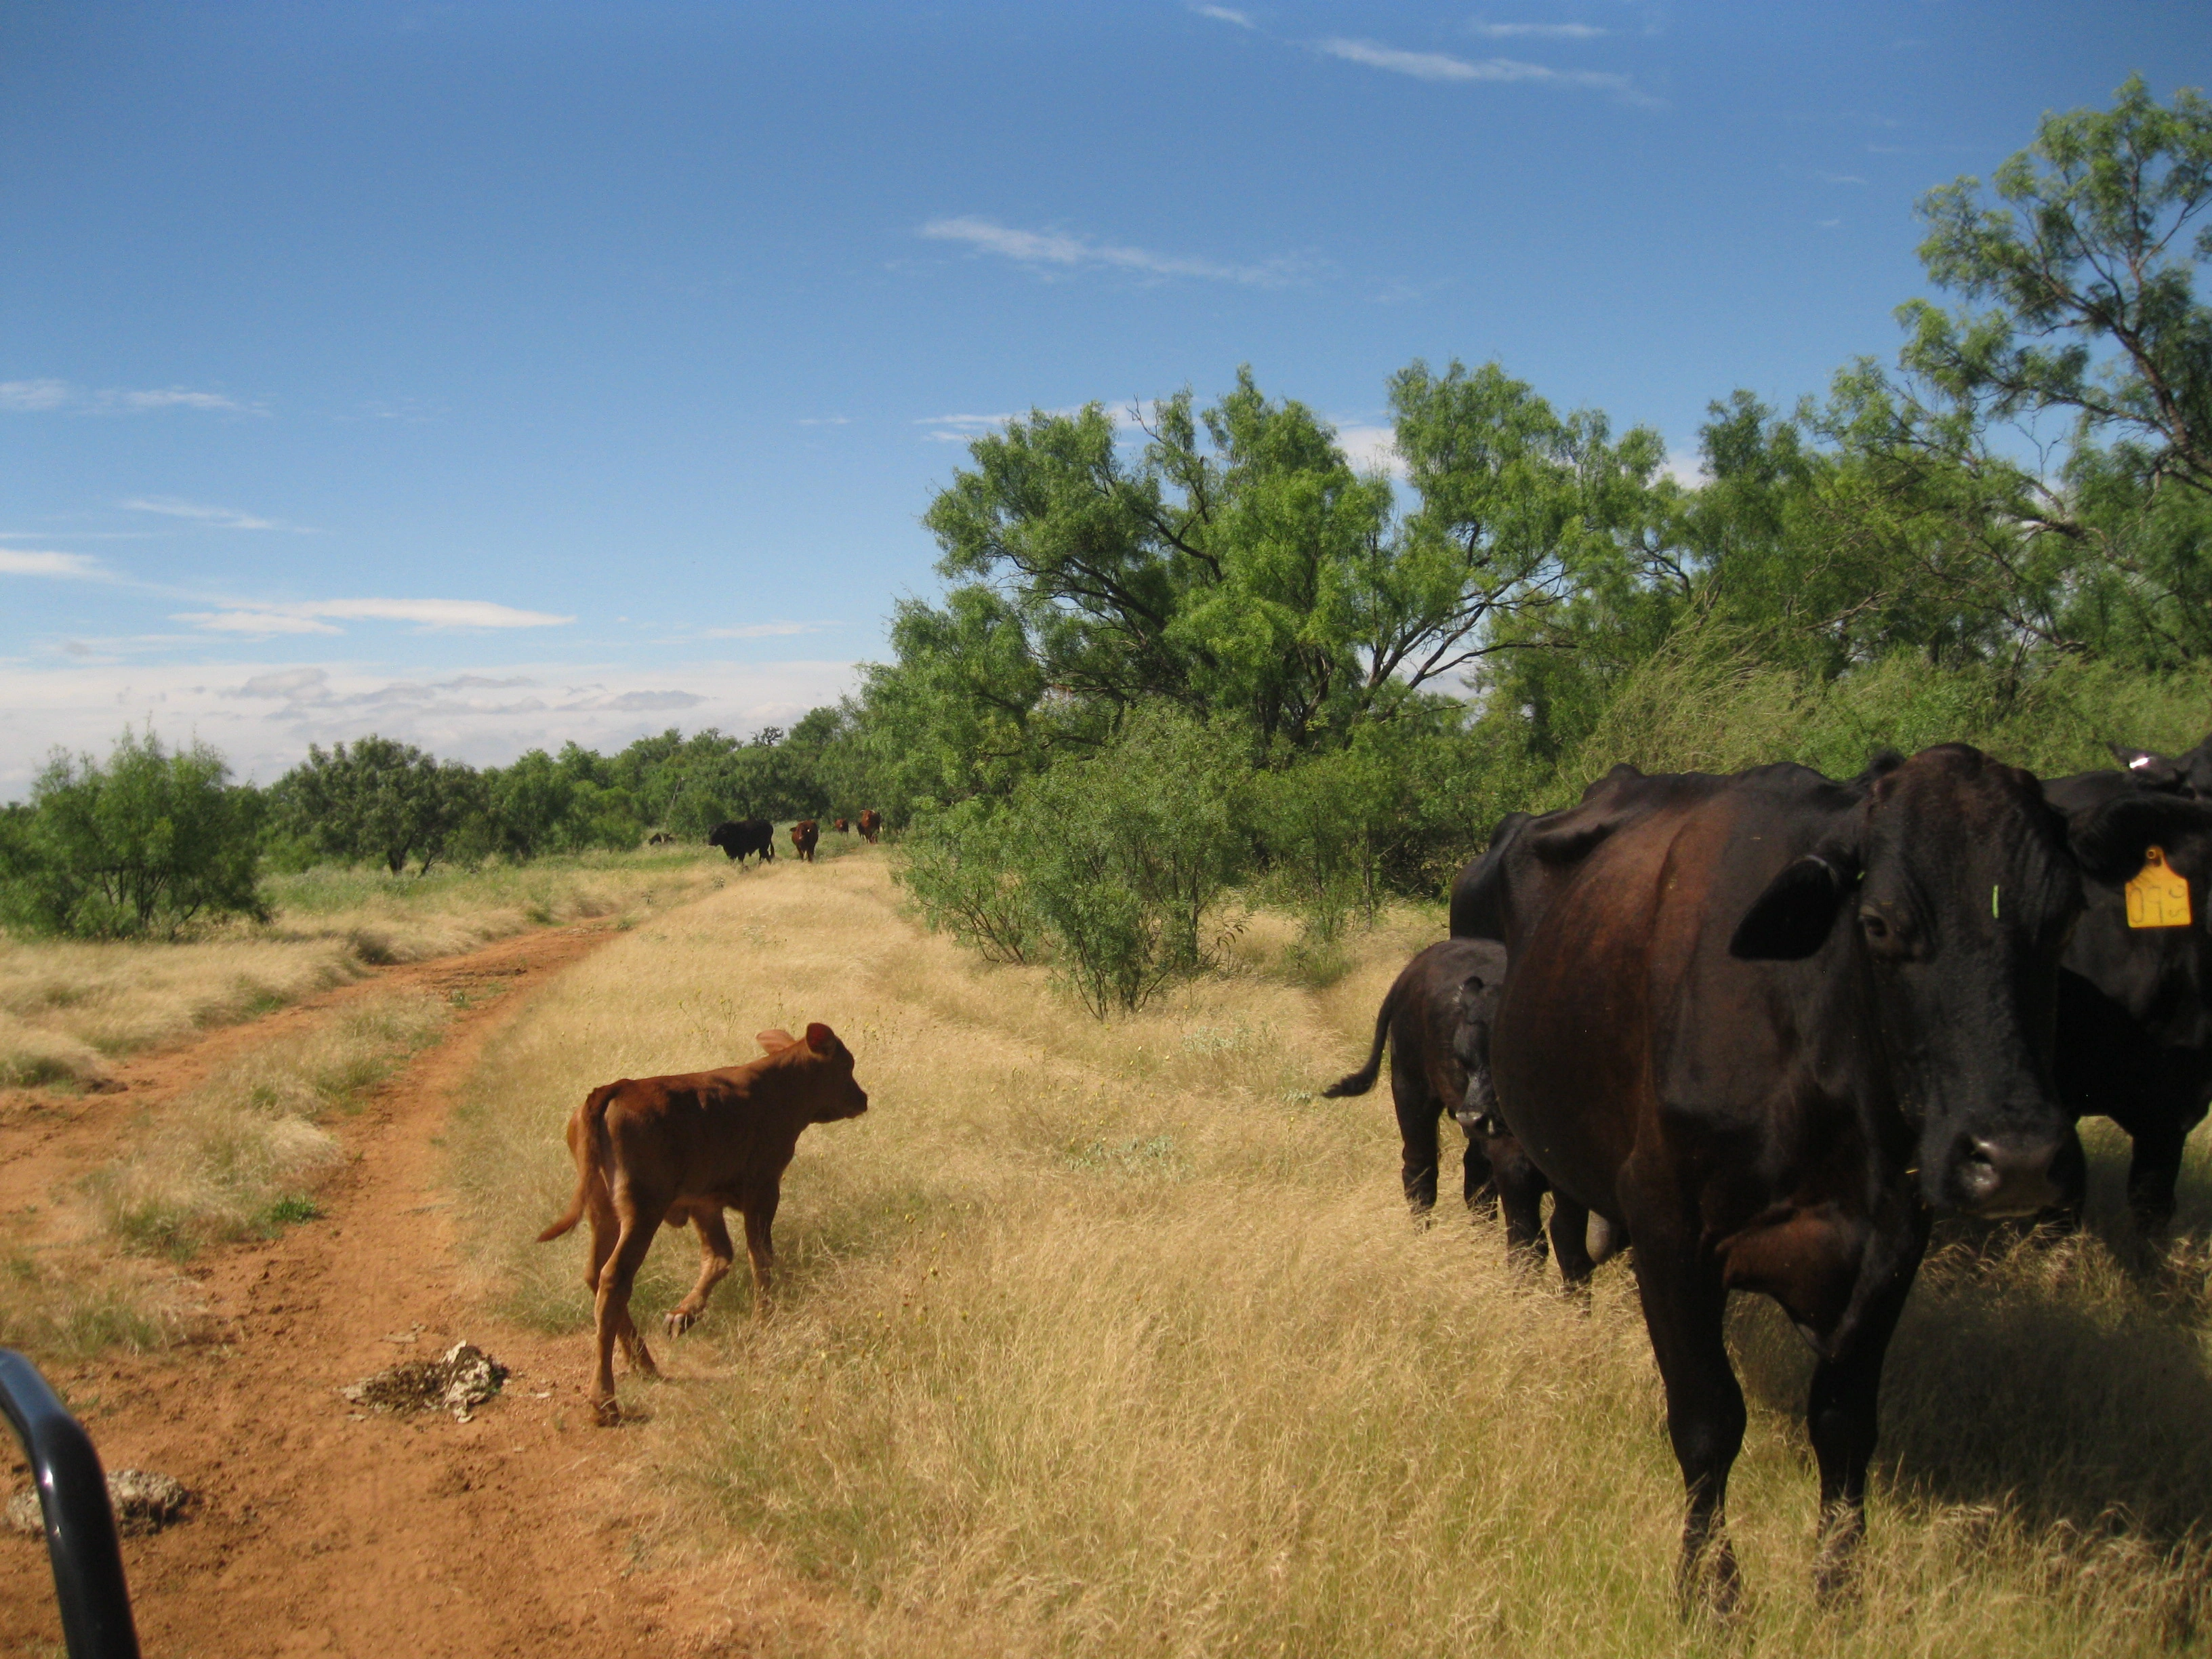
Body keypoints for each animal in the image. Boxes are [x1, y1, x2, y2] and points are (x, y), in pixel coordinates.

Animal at [536, 1024, 870, 1424]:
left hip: (603, 1210)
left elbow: (719, 1257)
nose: (863, 1098)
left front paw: (682, 1315)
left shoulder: (703, 1200)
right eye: (847, 1064)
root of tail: (615, 1088)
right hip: (643, 1209)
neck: (778, 1089)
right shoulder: (763, 1187)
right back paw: (605, 1400)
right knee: (614, 1279)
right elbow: (761, 1258)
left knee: (595, 1273)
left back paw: (643, 1362)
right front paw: (763, 1321)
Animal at [1323, 939, 1602, 1280]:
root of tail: (1412, 971)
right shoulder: (1514, 1168)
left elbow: (1572, 1252)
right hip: (1411, 1091)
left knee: (1476, 1182)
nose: (1472, 1117)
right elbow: (1527, 1246)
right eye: (1464, 1059)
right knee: (1420, 1171)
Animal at [1480, 745, 2166, 1608]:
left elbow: (1844, 1423)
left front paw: (1840, 1587)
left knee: (1572, 1238)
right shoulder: (1667, 1226)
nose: (2014, 1161)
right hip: (1513, 1121)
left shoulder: (1893, 1236)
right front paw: (1711, 1592)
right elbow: (1707, 1420)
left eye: (2066, 918)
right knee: (1531, 1219)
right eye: (1879, 924)